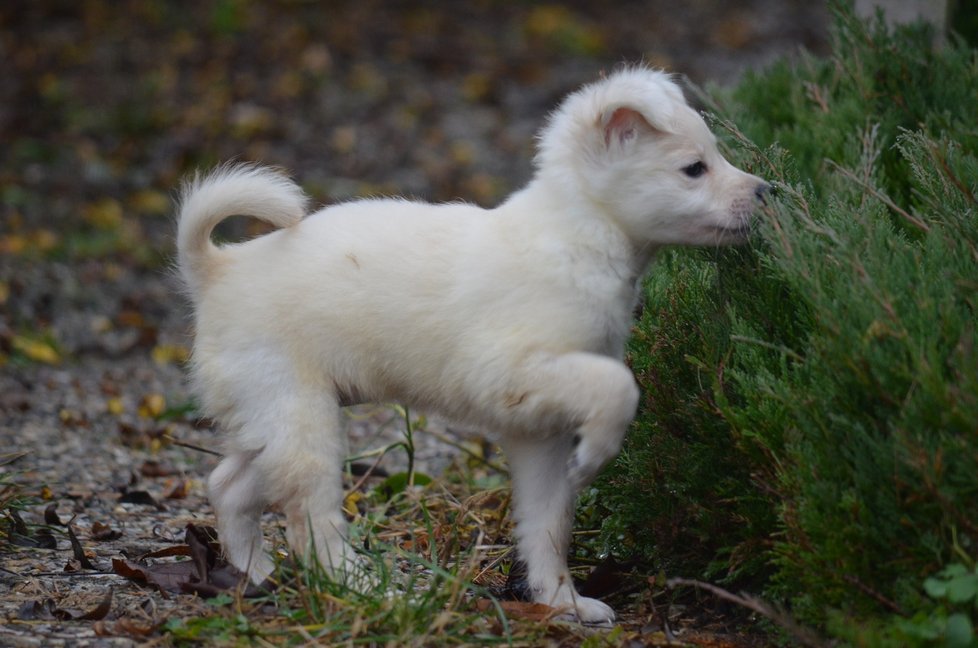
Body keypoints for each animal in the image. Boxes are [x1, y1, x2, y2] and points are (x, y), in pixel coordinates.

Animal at [177, 66, 772, 624]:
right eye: (694, 168)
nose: (766, 192)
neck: (576, 240)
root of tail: (217, 269)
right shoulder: (509, 373)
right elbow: (619, 386)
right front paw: (598, 455)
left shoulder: (540, 433)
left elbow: (548, 525)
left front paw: (562, 602)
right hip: (301, 421)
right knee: (312, 525)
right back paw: (364, 590)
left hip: (275, 418)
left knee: (229, 486)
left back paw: (255, 575)